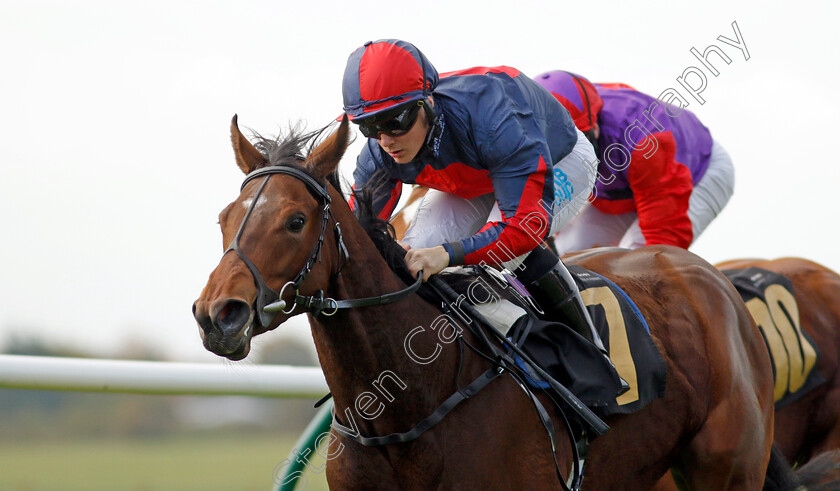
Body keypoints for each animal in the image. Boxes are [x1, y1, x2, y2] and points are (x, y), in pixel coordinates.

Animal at [192, 117, 788, 490]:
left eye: (295, 221)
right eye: (223, 218)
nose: (218, 314)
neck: (403, 405)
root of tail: (712, 279)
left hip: (728, 470)